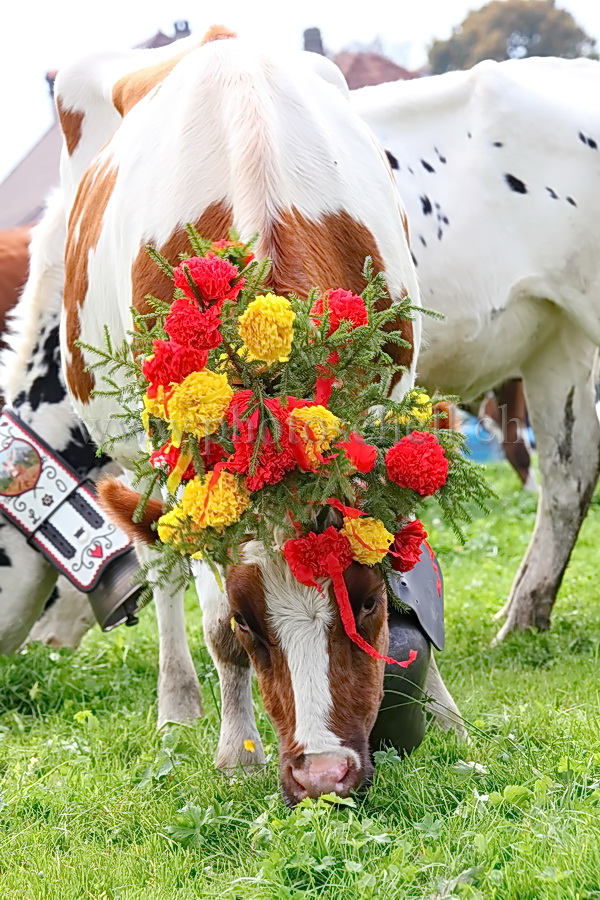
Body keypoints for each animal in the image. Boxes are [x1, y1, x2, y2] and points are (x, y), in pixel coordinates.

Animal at [47, 26, 464, 800]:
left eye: (364, 600)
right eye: (250, 624)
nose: (324, 773)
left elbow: (410, 573)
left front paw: (446, 713)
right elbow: (208, 619)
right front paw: (235, 749)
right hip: (130, 456)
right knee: (162, 570)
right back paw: (177, 707)